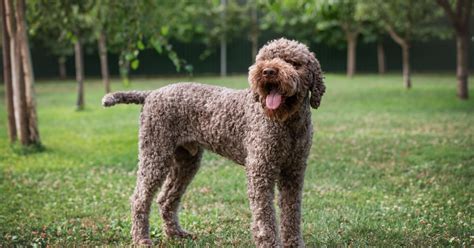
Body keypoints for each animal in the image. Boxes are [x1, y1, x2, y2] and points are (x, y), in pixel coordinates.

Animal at [103, 37, 326, 247]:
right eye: (264, 59)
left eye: (293, 62)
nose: (268, 71)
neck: (287, 124)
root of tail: (151, 94)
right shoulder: (261, 170)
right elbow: (265, 217)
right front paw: (269, 243)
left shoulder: (294, 172)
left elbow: (292, 213)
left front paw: (294, 243)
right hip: (155, 156)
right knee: (139, 199)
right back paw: (141, 239)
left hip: (185, 162)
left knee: (166, 198)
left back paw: (176, 234)